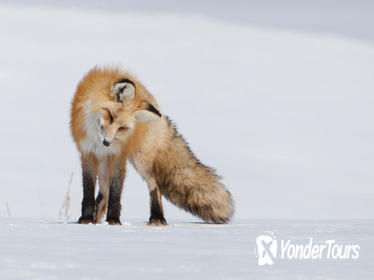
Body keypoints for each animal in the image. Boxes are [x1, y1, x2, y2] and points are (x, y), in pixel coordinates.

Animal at [70, 66, 234, 225]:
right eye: (110, 116)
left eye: (122, 128)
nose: (106, 143)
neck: (96, 140)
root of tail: (158, 109)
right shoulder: (88, 153)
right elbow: (89, 189)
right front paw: (86, 219)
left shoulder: (119, 154)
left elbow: (116, 191)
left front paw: (113, 220)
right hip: (105, 164)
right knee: (104, 193)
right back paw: (97, 217)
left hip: (141, 160)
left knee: (154, 184)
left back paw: (157, 218)